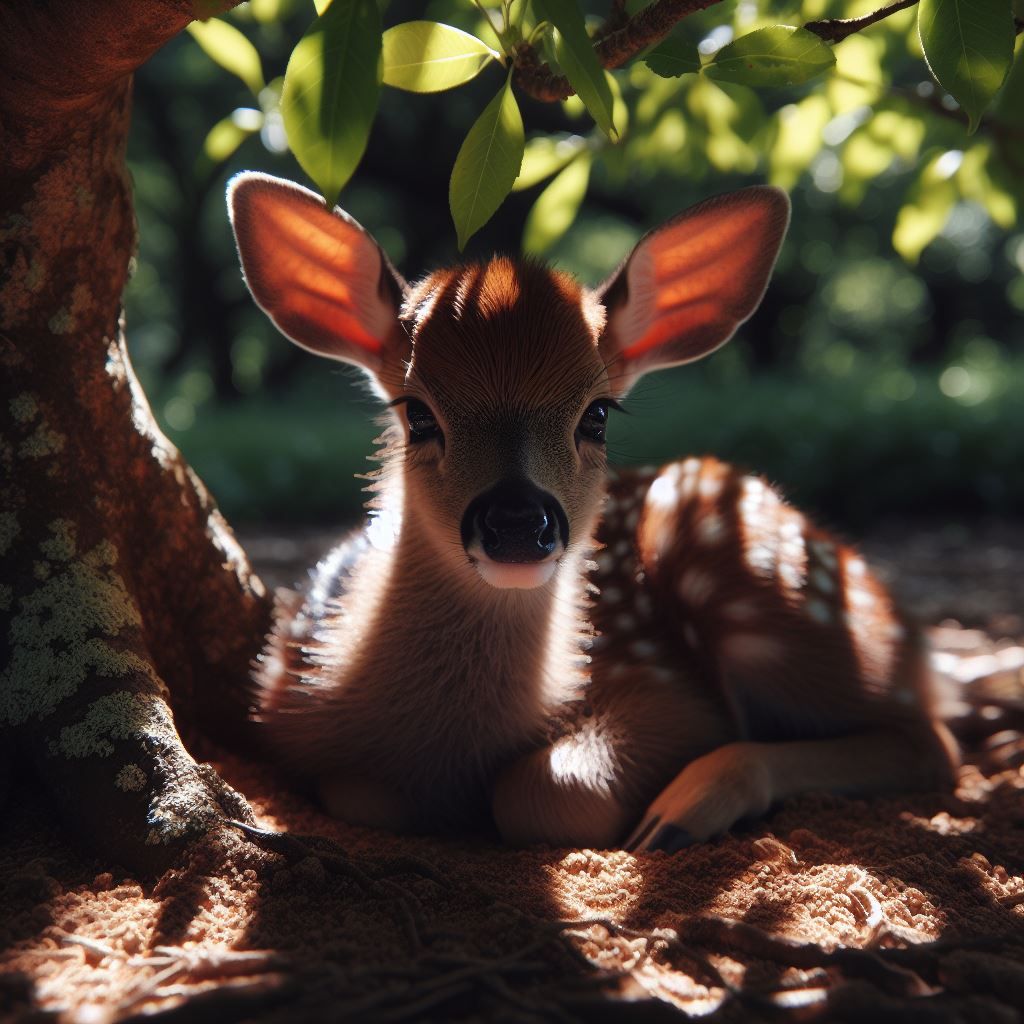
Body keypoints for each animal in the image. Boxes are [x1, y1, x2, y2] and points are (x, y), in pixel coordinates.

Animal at [227, 172, 958, 853]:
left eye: (598, 415)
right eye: (418, 414)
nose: (518, 527)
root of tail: (909, 632)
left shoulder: (665, 691)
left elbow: (548, 794)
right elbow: (363, 795)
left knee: (932, 742)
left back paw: (684, 810)